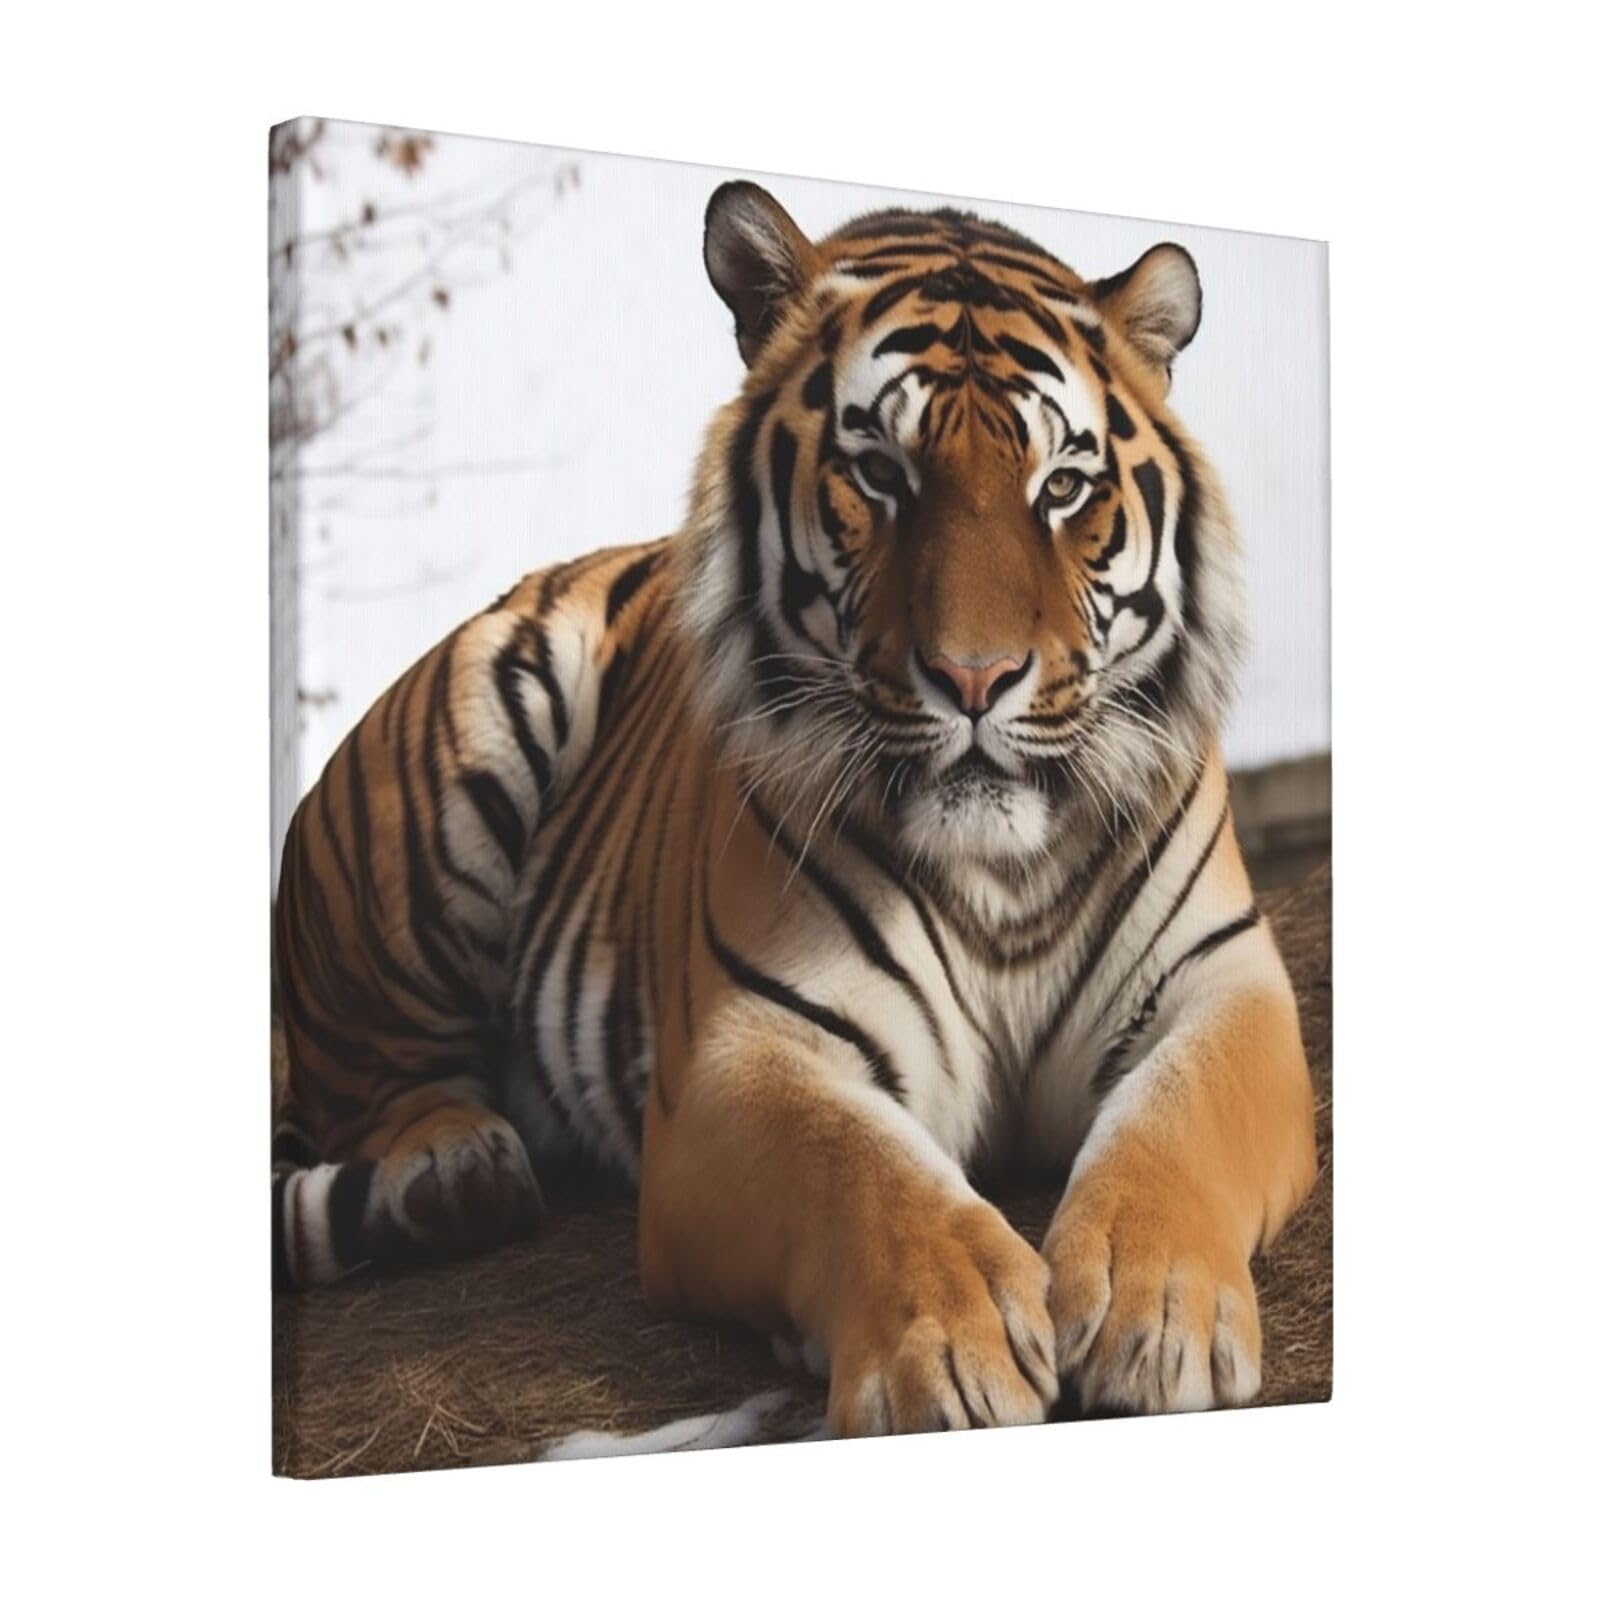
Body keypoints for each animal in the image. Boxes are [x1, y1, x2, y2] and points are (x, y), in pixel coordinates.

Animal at [272, 181, 1317, 1432]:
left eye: (1062, 487)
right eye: (879, 475)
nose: (974, 678)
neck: (1001, 874)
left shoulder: (1221, 983)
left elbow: (1177, 1118)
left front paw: (1155, 1314)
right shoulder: (742, 1051)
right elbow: (857, 1170)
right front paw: (949, 1347)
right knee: (385, 1082)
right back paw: (452, 1171)